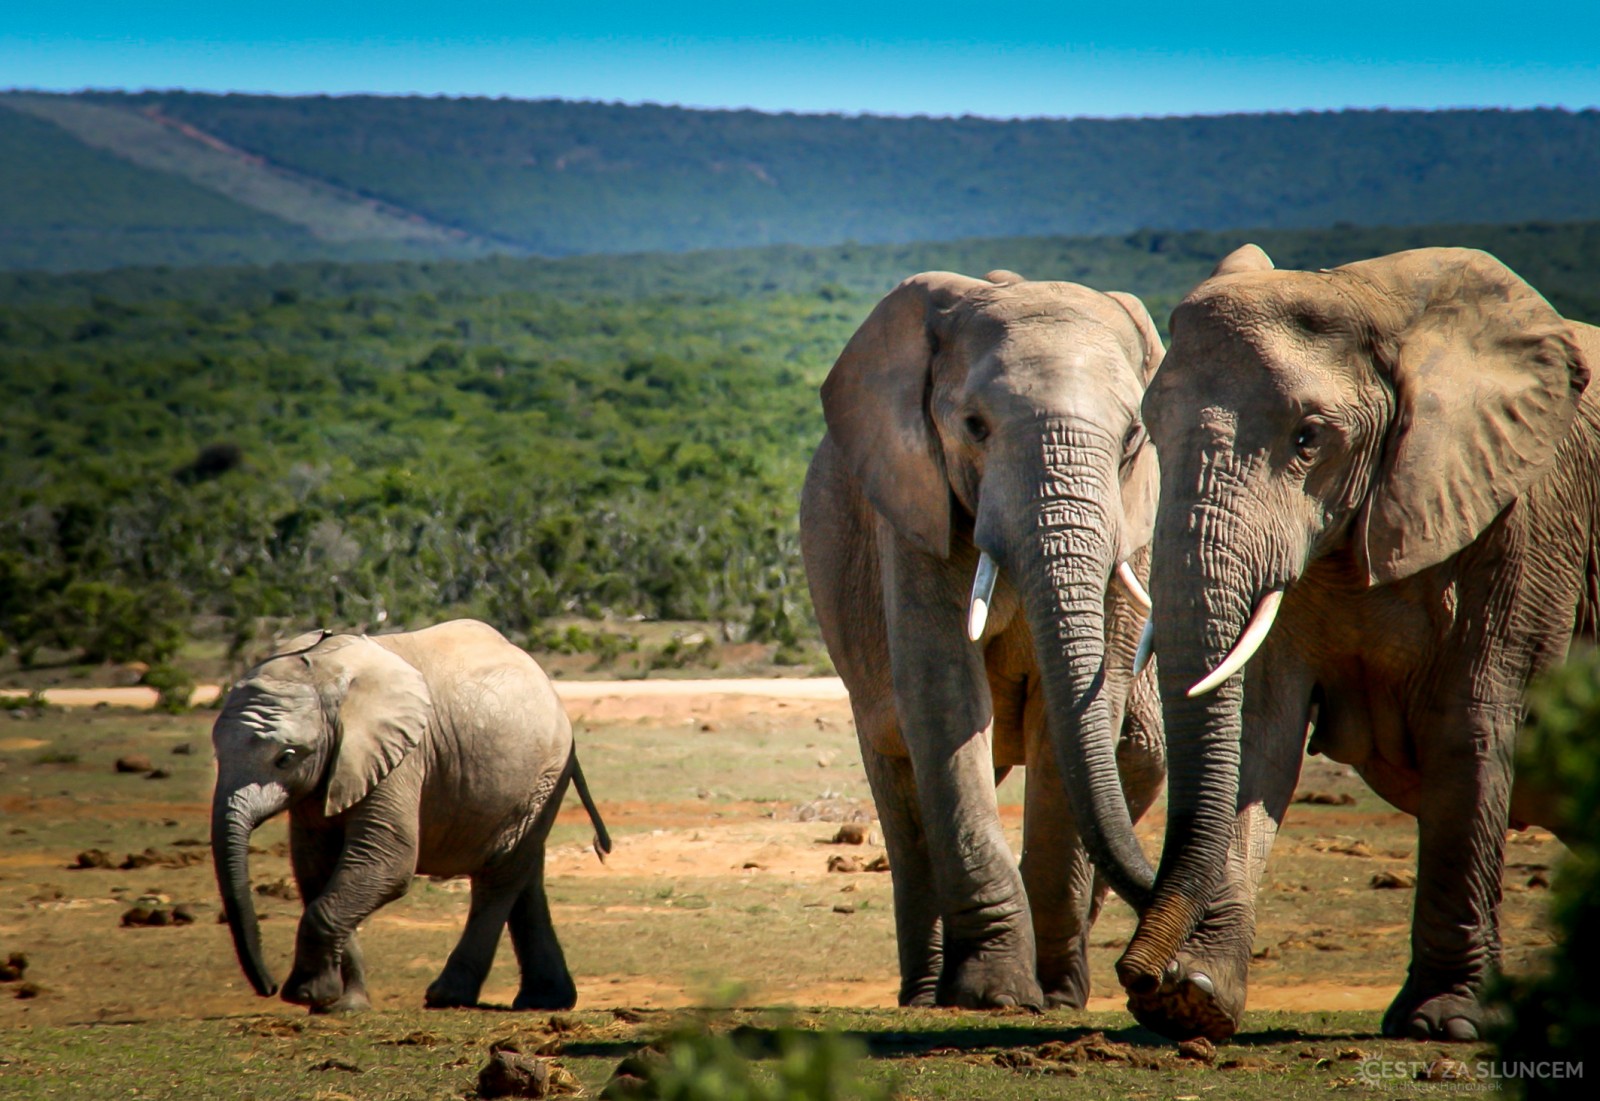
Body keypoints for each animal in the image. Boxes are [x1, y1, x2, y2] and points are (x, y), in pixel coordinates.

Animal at [211, 618, 611, 1014]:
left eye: (286, 757)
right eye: (216, 754)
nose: (268, 986)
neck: (321, 672)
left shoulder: (401, 756)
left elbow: (388, 862)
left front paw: (305, 994)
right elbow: (316, 871)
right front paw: (340, 1005)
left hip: (544, 771)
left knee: (499, 876)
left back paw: (448, 997)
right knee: (524, 874)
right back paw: (543, 1001)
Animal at [800, 268, 1167, 1009]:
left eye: (1132, 437)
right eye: (974, 427)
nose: (1158, 977)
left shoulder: (1132, 522)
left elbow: (1075, 718)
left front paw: (1056, 998)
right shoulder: (913, 503)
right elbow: (944, 694)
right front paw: (995, 995)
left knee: (1137, 754)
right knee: (902, 777)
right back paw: (924, 996)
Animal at [1114, 244, 1599, 1042]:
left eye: (1309, 438)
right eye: (1149, 425)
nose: (1136, 975)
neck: (1366, 295)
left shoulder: (1521, 525)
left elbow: (1468, 730)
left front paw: (1445, 1024)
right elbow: (1261, 732)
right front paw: (1195, 999)